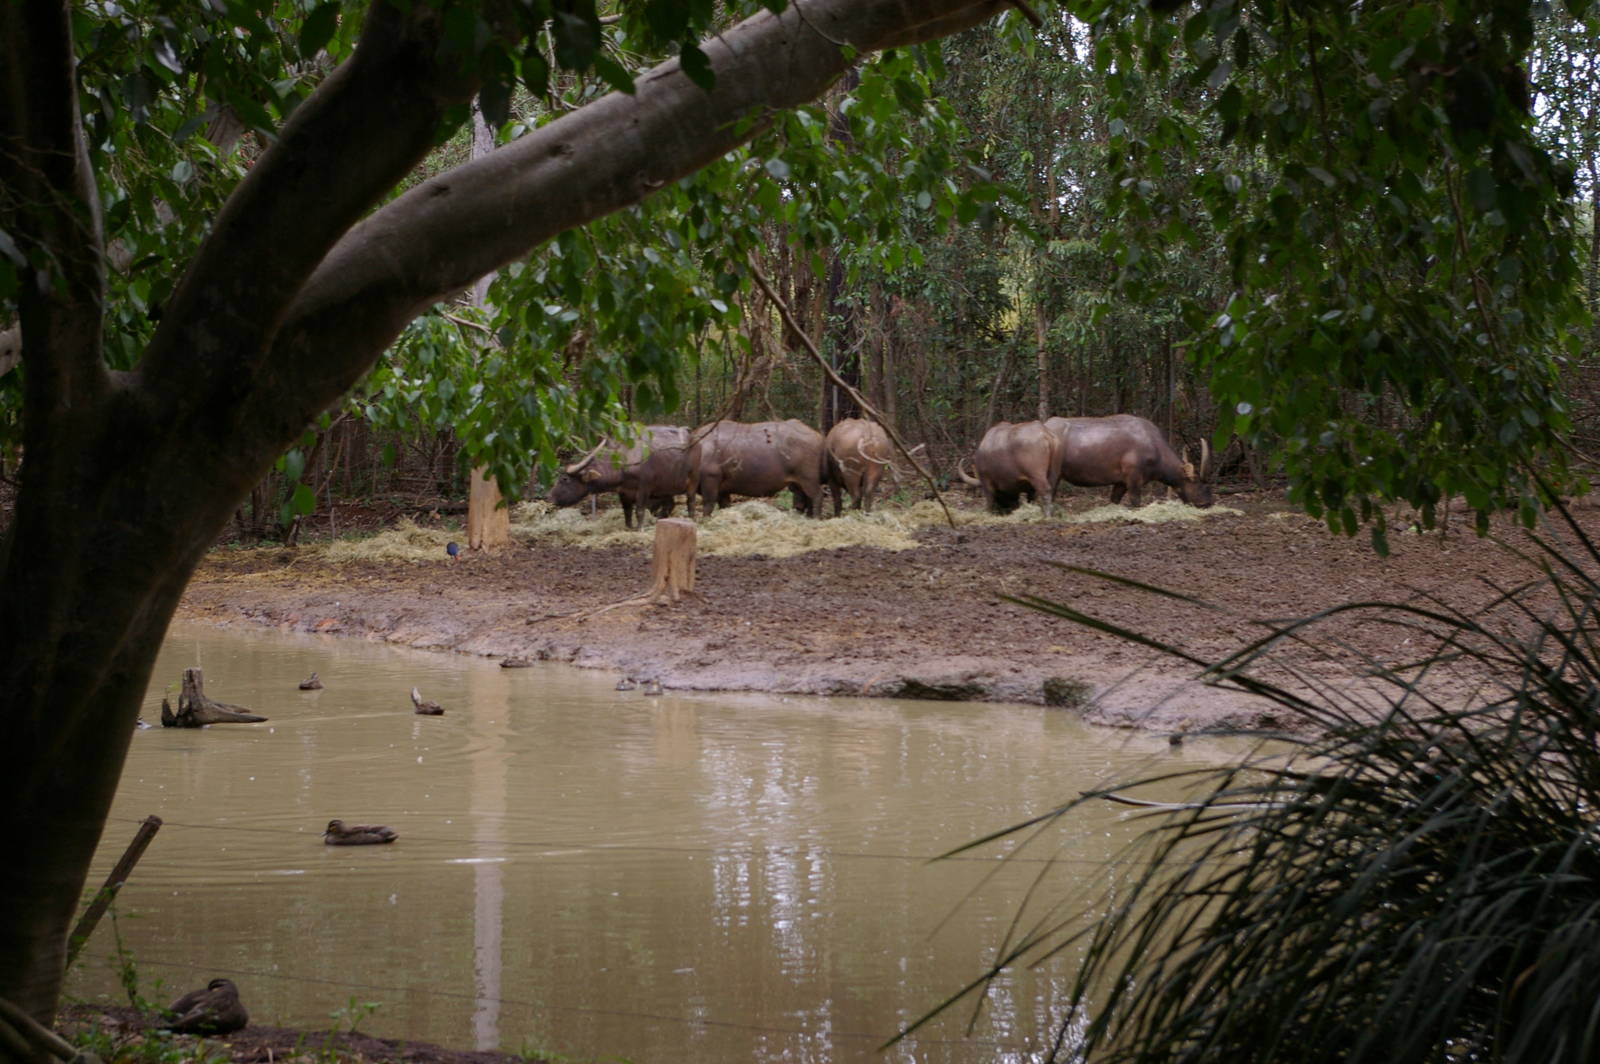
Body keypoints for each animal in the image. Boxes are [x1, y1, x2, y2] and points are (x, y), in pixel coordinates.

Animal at [548, 424, 701, 530]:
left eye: (564, 479)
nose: (548, 497)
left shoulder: (644, 489)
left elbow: (639, 511)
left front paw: (639, 529)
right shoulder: (624, 492)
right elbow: (627, 513)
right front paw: (630, 527)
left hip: (692, 482)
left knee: (690, 503)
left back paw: (691, 519)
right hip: (666, 488)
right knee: (669, 504)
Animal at [694, 419, 826, 517]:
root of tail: (819, 437)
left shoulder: (710, 480)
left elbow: (708, 505)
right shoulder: (723, 490)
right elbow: (725, 506)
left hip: (808, 477)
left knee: (817, 496)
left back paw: (815, 517)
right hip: (799, 481)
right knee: (806, 499)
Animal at [1044, 415, 1212, 508]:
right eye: (1199, 483)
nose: (1207, 503)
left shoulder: (1121, 482)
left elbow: (1114, 500)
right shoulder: (1133, 479)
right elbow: (1135, 502)